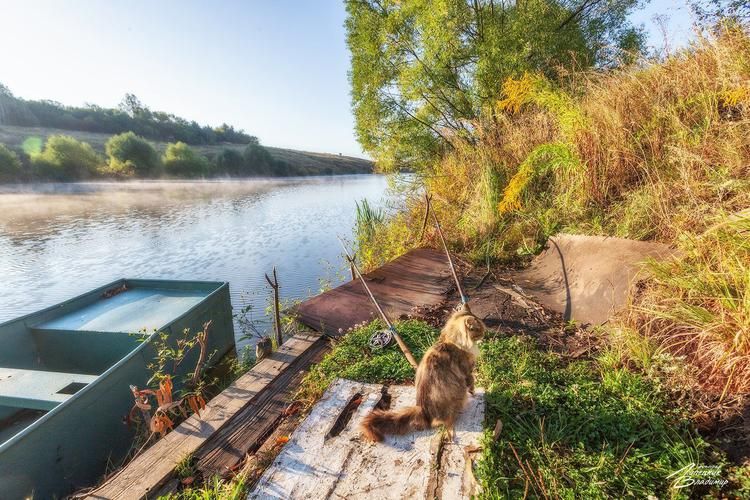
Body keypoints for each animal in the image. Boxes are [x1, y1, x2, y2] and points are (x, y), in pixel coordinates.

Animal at [362, 304, 488, 442]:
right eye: (480, 329)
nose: (485, 332)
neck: (450, 341)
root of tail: (422, 410)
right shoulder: (467, 370)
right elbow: (471, 383)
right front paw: (474, 393)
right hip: (458, 392)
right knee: (445, 421)